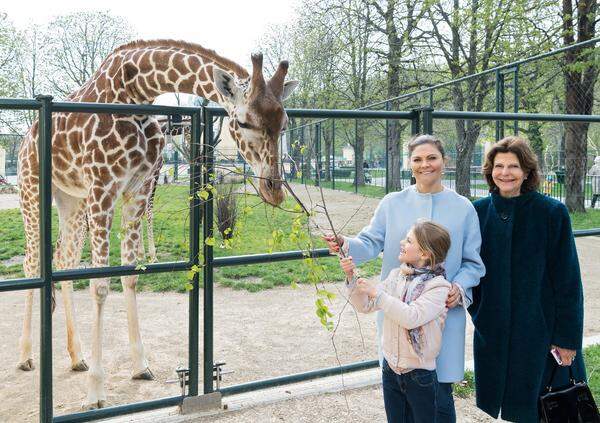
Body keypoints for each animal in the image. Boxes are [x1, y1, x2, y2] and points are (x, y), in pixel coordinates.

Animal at [17, 40, 298, 410]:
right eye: (243, 121)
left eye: (284, 123)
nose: (274, 189)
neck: (135, 92)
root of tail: (25, 138)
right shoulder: (103, 187)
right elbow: (100, 285)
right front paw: (95, 394)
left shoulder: (136, 189)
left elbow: (131, 275)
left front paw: (140, 365)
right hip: (32, 189)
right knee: (32, 263)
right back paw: (25, 356)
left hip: (70, 199)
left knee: (64, 261)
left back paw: (77, 357)